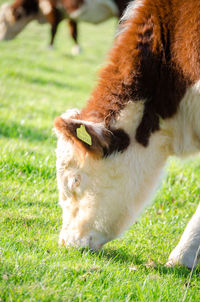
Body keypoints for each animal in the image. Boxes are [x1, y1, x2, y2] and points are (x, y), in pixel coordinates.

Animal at [0, 0, 130, 53]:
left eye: (3, 22)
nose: (2, 39)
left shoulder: (52, 8)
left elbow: (53, 29)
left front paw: (50, 47)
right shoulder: (69, 13)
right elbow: (73, 32)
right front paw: (77, 49)